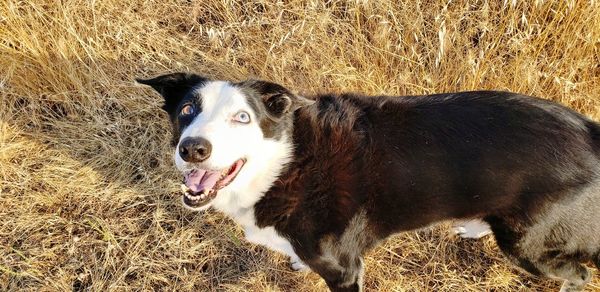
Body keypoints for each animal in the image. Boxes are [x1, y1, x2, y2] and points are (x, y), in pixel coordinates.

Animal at [136, 73, 600, 292]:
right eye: (186, 110)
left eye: (242, 117)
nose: (193, 149)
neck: (286, 162)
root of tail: (589, 131)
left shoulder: (344, 270)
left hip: (527, 248)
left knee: (578, 274)